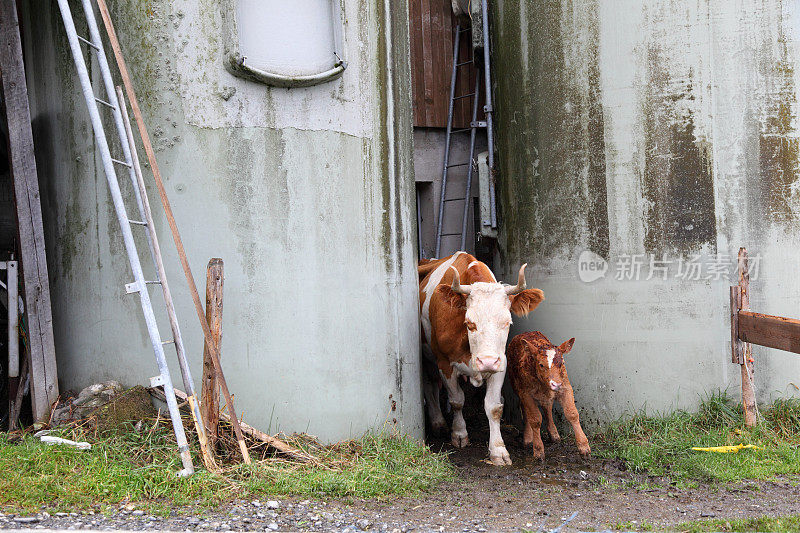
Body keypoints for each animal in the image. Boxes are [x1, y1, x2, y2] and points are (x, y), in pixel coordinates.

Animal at [418, 251, 544, 464]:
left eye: (507, 322)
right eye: (470, 323)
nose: (486, 362)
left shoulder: (501, 363)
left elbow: (494, 407)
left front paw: (498, 450)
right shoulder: (445, 363)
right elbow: (457, 400)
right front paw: (459, 434)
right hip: (427, 357)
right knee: (430, 385)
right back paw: (438, 423)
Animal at [510, 330, 592, 460]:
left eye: (562, 362)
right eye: (541, 365)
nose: (556, 384)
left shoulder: (565, 387)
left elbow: (572, 414)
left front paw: (584, 447)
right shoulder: (525, 394)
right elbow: (535, 420)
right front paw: (538, 450)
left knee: (547, 408)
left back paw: (554, 434)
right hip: (517, 388)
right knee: (526, 411)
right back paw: (528, 438)